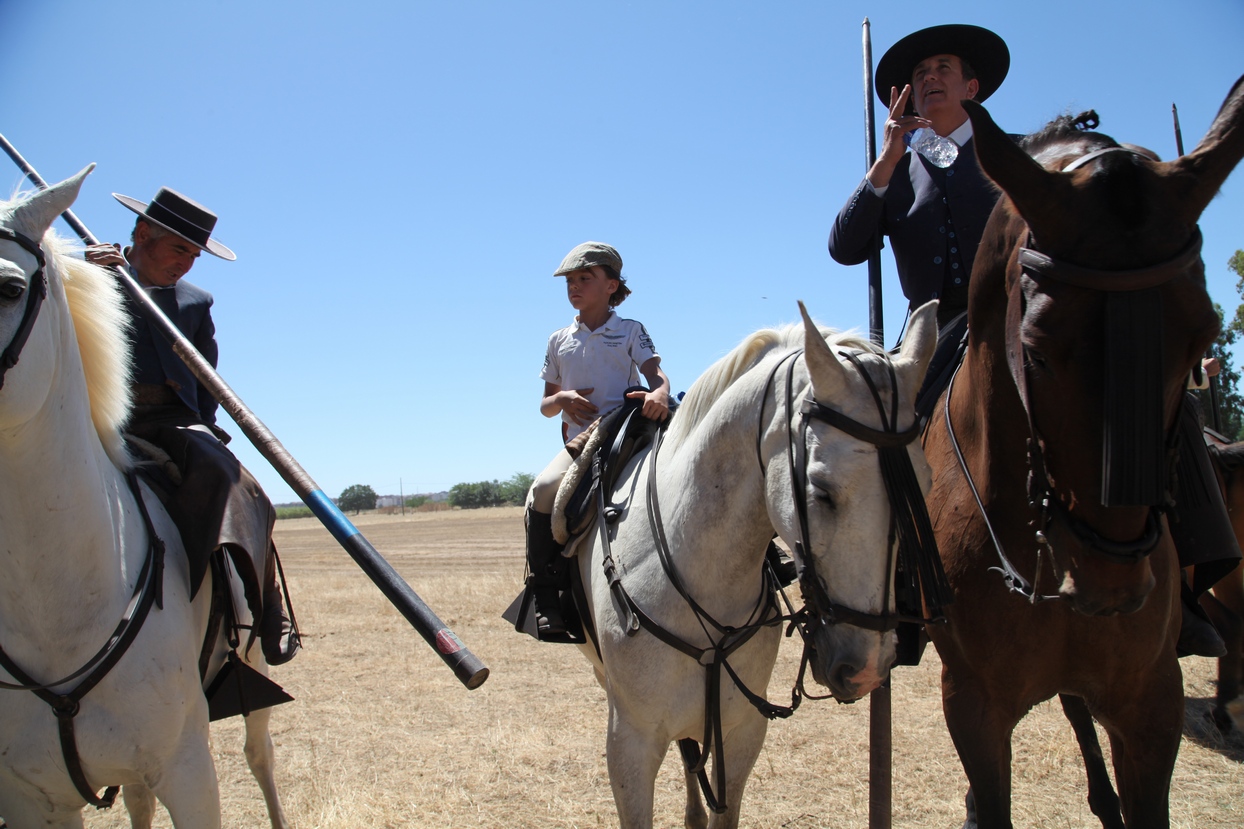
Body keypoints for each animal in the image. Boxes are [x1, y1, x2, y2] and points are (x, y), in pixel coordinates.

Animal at [0, 169, 286, 826]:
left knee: (259, 755)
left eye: (9, 288)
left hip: (255, 668)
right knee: (135, 796)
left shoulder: (188, 768)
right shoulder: (30, 796)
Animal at [925, 72, 1244, 826]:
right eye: (1037, 349)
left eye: (1200, 334)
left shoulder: (1150, 703)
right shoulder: (973, 706)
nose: (1113, 587)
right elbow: (993, 796)